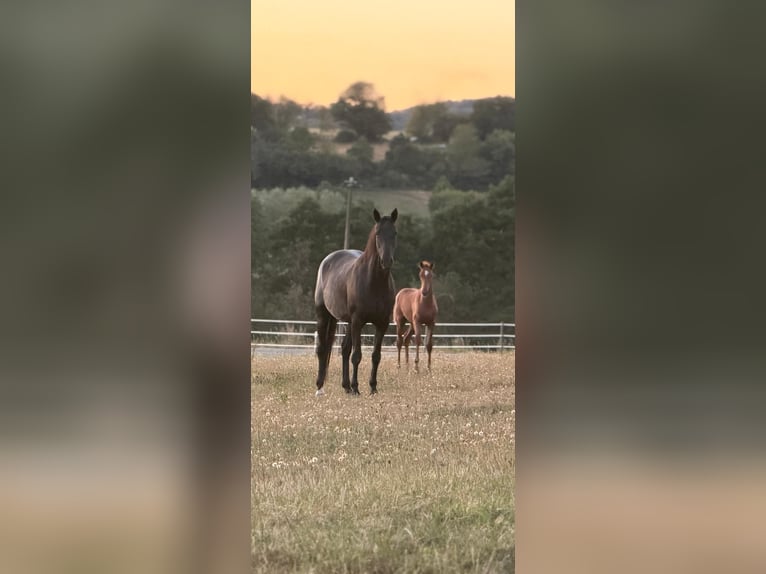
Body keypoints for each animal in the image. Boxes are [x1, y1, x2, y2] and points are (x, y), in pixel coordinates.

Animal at [313, 208, 398, 396]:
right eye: (378, 233)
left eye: (395, 233)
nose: (386, 261)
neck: (374, 282)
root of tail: (327, 260)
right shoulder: (358, 321)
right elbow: (357, 356)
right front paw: (357, 387)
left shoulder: (382, 323)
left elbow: (376, 356)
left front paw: (372, 388)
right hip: (324, 315)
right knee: (322, 349)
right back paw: (320, 387)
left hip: (348, 322)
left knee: (344, 349)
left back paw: (346, 387)